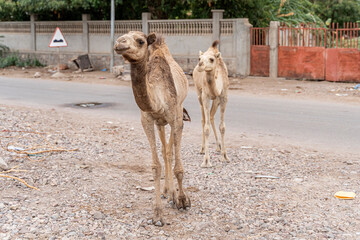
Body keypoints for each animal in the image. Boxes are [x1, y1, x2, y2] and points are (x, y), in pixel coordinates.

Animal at [114, 31, 191, 226]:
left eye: (140, 41)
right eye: (123, 35)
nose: (119, 43)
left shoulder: (176, 118)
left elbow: (178, 167)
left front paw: (183, 200)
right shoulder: (147, 120)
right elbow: (156, 166)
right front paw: (157, 214)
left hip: (176, 115)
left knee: (170, 151)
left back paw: (174, 195)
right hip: (160, 123)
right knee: (165, 151)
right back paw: (167, 192)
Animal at [193, 40, 229, 168]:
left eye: (212, 59)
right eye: (199, 58)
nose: (200, 65)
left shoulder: (223, 97)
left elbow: (222, 126)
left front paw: (225, 156)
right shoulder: (205, 97)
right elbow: (206, 127)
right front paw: (206, 161)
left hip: (215, 101)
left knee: (212, 117)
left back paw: (218, 147)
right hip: (199, 95)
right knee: (204, 120)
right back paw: (202, 149)